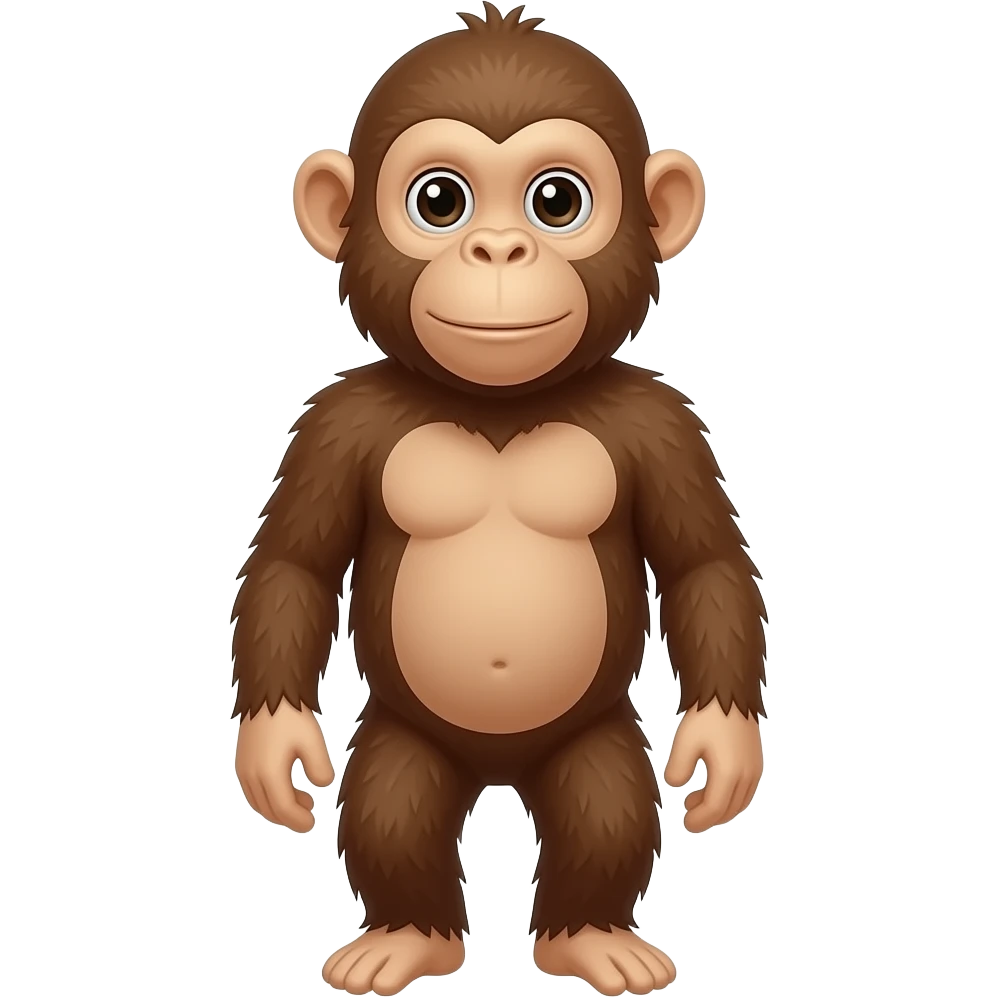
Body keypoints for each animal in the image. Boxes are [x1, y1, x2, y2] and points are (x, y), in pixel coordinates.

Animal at [233, 4, 766, 996]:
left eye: (557, 201)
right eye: (439, 201)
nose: (499, 249)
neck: (499, 405)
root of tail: (499, 773)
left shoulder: (662, 422)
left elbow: (703, 563)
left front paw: (722, 746)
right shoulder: (336, 422)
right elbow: (294, 563)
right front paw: (276, 747)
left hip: (589, 734)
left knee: (605, 805)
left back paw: (590, 936)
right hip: (408, 734)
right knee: (393, 805)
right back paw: (407, 937)